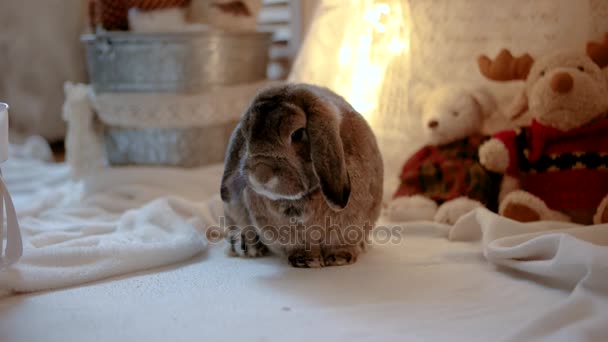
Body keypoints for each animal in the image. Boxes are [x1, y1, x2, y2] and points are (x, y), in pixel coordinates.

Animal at [222, 83, 384, 268]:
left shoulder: (347, 227)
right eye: (246, 136)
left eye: (298, 134)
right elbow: (300, 246)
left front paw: (340, 258)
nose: (261, 174)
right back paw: (248, 245)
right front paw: (306, 260)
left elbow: (340, 244)